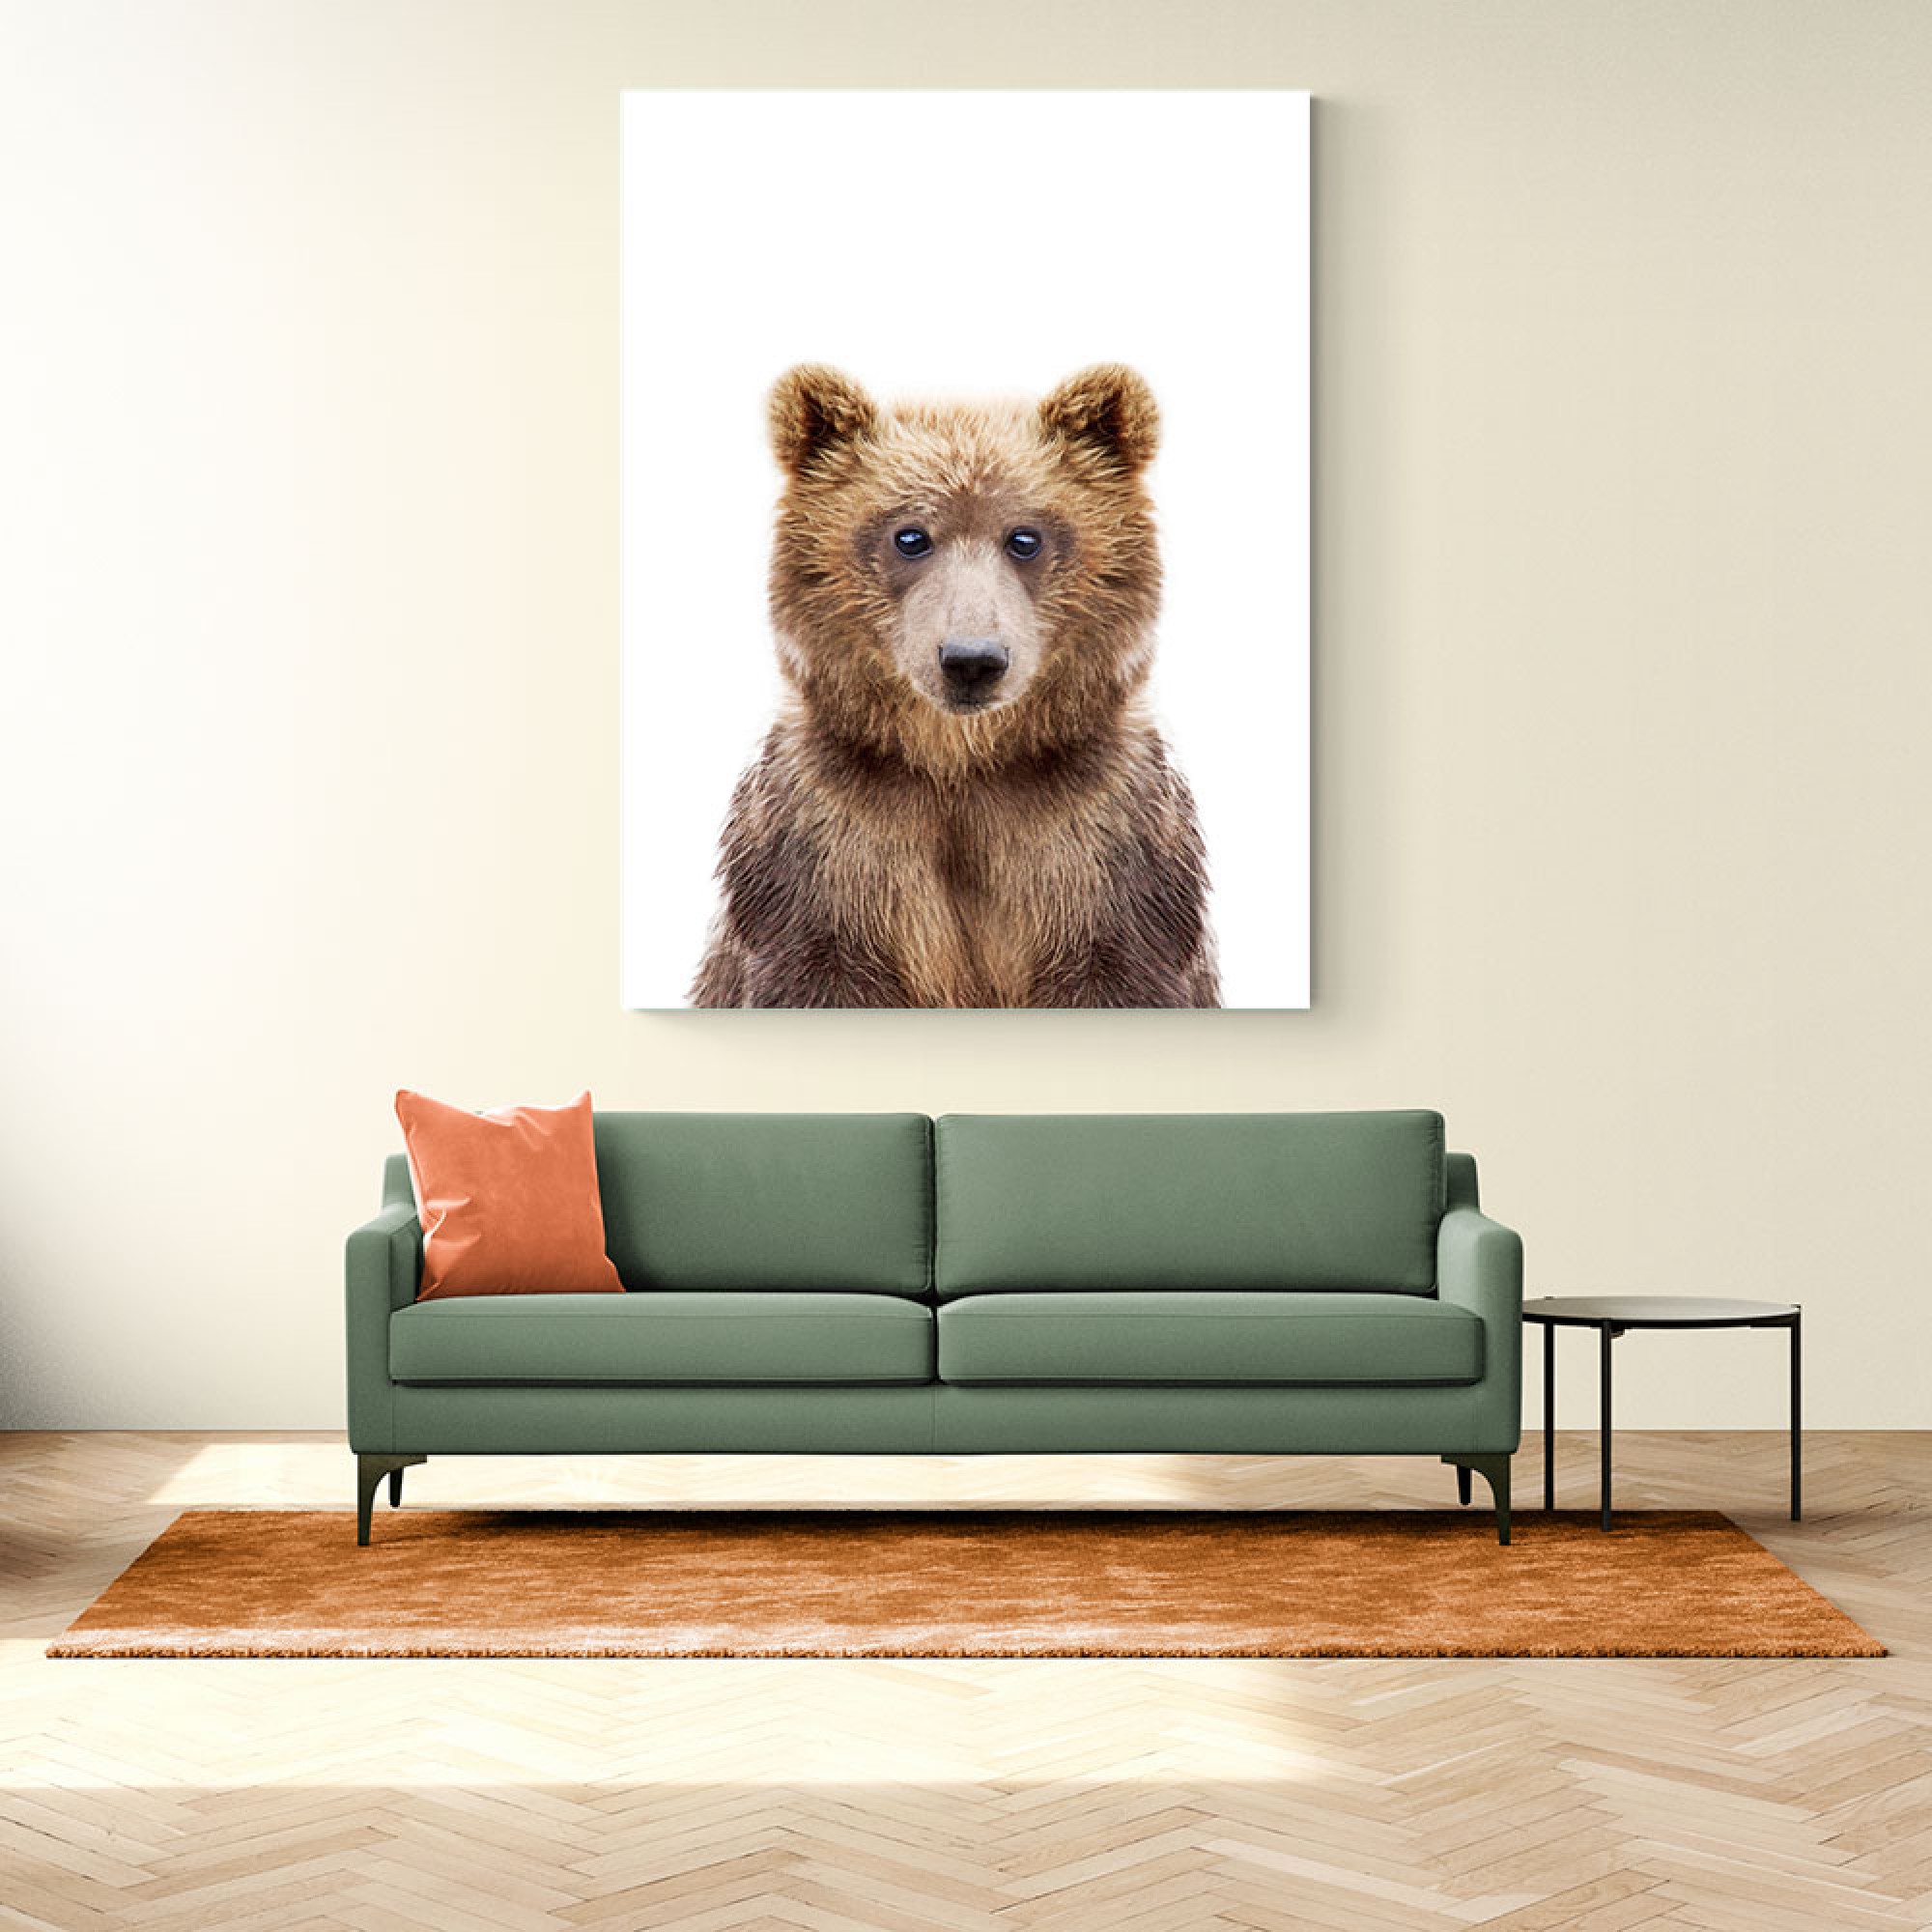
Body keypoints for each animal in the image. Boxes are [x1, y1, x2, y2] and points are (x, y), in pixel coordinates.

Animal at [689, 362, 1219, 1009]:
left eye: (1025, 537)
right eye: (910, 536)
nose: (972, 660)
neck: (961, 765)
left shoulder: (1103, 845)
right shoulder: (825, 845)